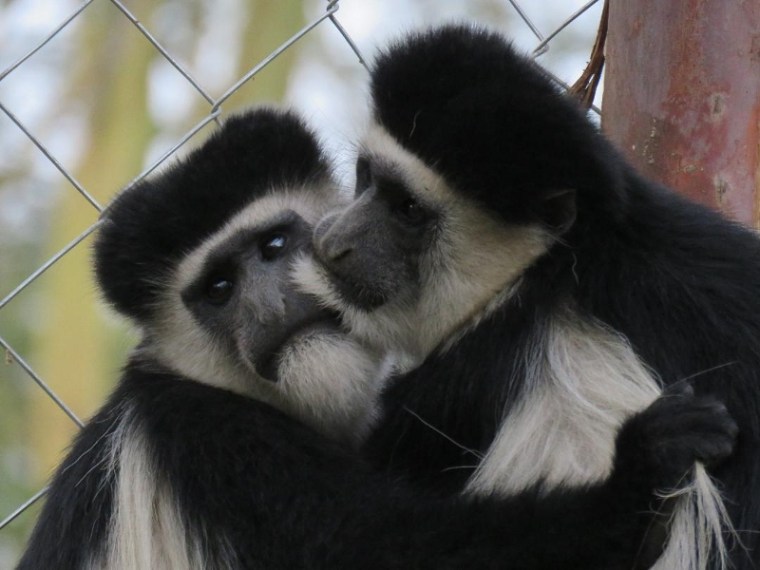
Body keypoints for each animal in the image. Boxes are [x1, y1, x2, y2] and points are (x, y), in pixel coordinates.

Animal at [16, 106, 738, 570]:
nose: (269, 304)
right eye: (218, 289)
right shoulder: (214, 445)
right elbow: (374, 548)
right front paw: (640, 473)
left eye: (273, 245)